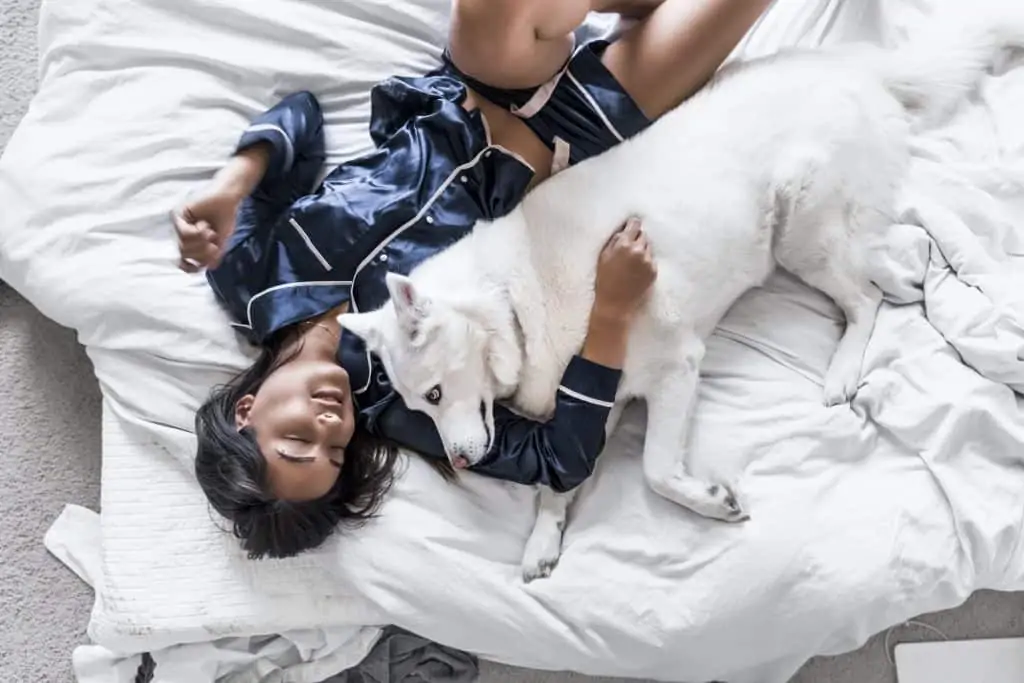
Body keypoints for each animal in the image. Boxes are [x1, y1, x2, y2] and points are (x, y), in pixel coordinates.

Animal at [344, 6, 1024, 581]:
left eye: (435, 394)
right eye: (418, 405)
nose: (460, 461)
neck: (514, 302)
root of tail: (851, 65)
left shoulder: (674, 368)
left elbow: (654, 472)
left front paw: (707, 500)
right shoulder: (599, 404)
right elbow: (558, 483)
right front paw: (543, 538)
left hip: (798, 233)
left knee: (864, 299)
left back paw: (843, 369)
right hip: (825, 232)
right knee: (896, 260)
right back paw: (916, 279)